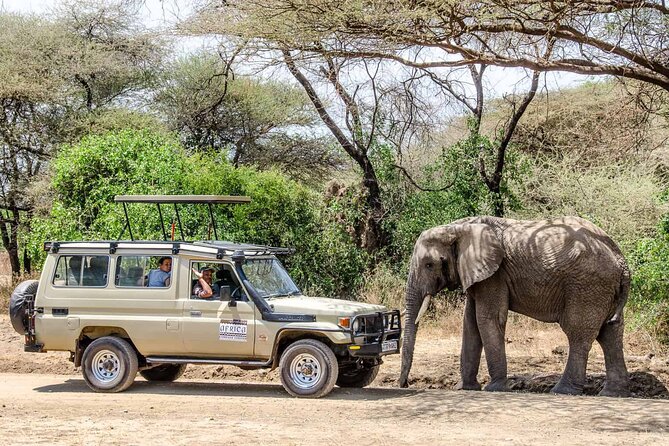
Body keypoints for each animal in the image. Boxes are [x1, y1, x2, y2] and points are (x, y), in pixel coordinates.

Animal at [399, 216, 631, 397]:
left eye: (429, 265)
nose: (404, 384)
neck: (458, 228)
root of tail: (622, 261)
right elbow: (470, 323)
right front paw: (465, 388)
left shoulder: (495, 275)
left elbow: (488, 318)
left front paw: (495, 389)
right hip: (604, 289)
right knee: (610, 334)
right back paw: (612, 393)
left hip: (587, 286)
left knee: (578, 333)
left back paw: (562, 391)